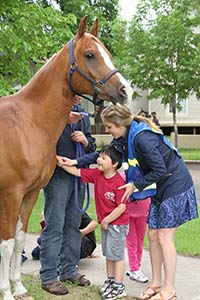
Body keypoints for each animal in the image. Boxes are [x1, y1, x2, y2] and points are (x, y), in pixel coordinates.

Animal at [0, 15, 131, 300]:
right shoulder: (10, 195)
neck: (26, 122)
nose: (125, 90)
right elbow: (6, 243)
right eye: (90, 55)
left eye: (108, 54)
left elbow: (18, 240)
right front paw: (5, 291)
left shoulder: (30, 194)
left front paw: (19, 287)